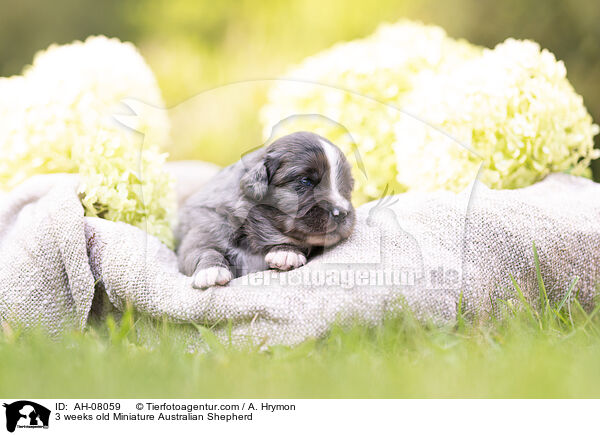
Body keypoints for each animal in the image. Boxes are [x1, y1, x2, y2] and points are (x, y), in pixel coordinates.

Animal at [178, 133, 356, 290]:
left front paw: (286, 252)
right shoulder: (204, 232)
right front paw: (212, 271)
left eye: (347, 188)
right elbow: (204, 250)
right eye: (305, 181)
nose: (342, 213)